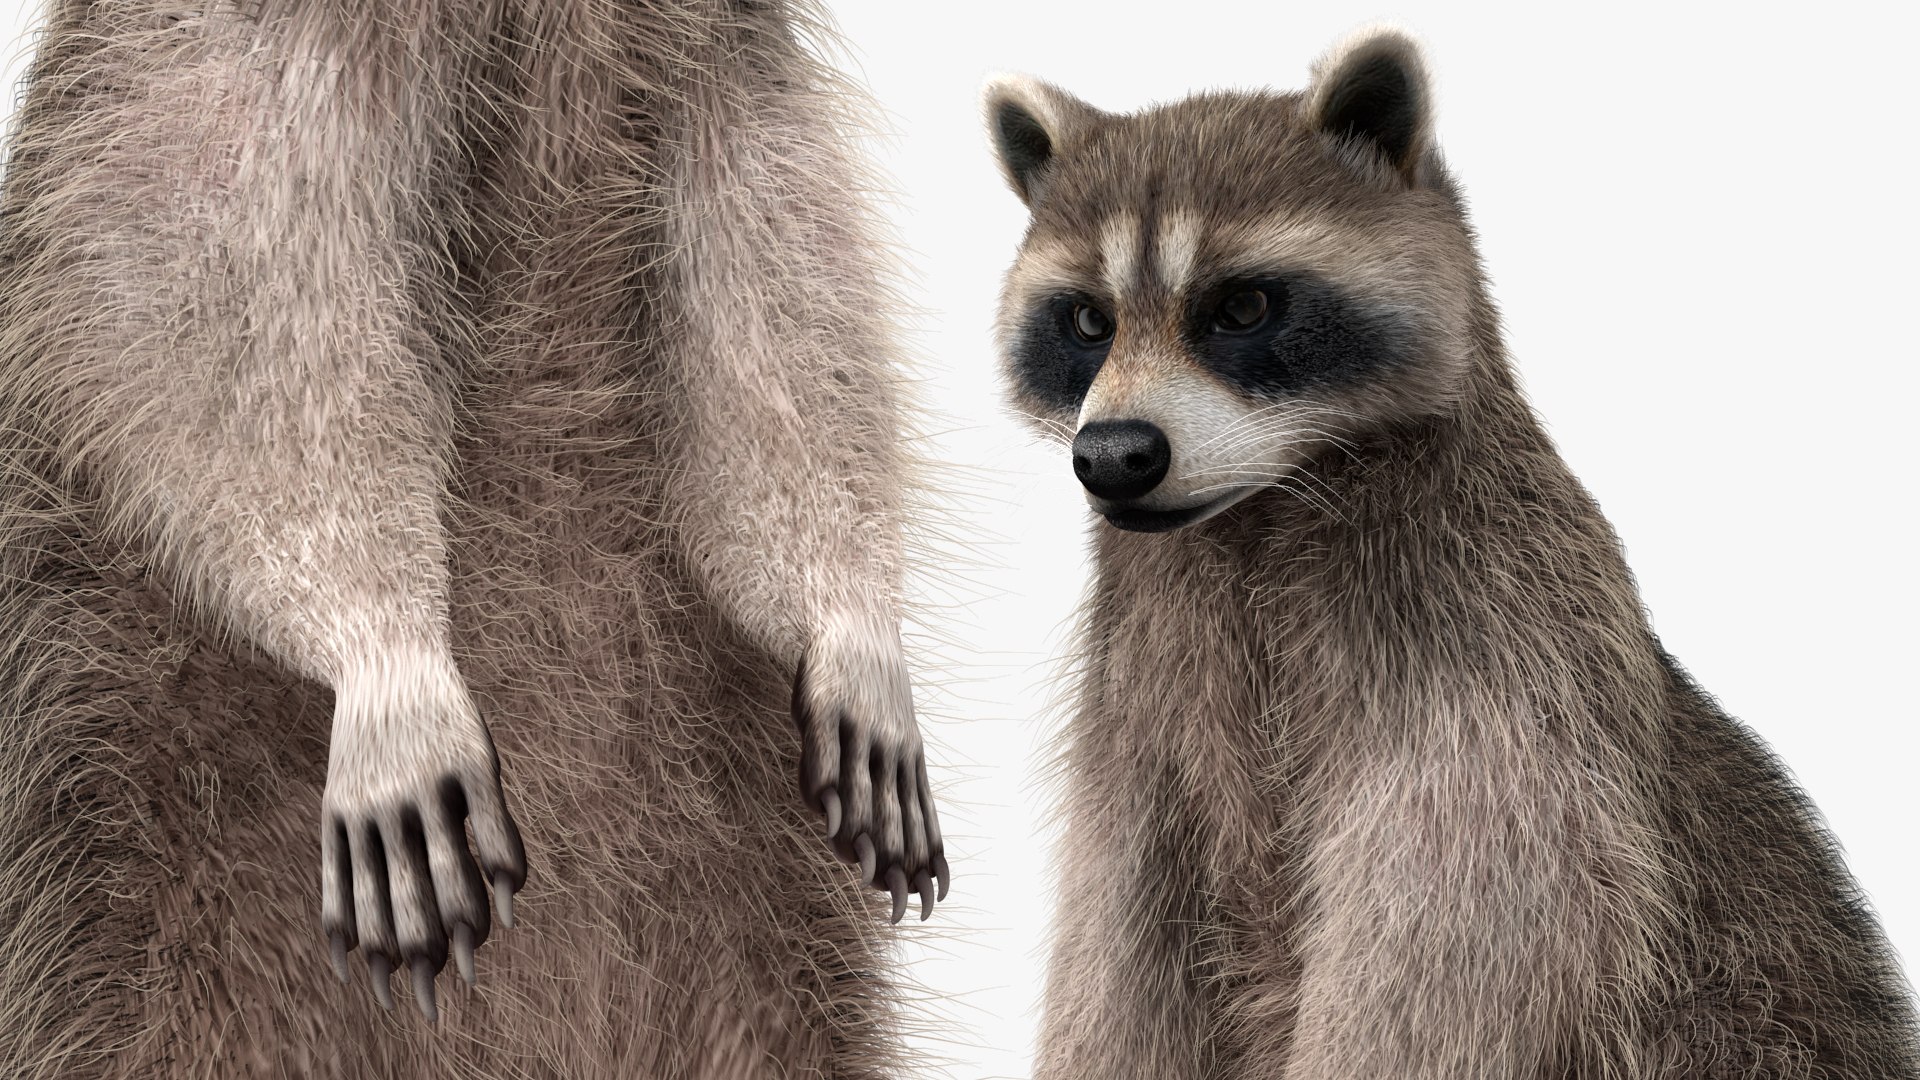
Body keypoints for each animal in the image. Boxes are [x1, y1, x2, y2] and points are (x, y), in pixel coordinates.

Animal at [0, 0, 946, 1076]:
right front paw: (387, 660)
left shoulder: (722, 64)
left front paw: (852, 622)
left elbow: (774, 266)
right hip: (129, 856)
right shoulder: (207, 52)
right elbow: (195, 248)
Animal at [987, 28, 1917, 1079]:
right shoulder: (1137, 709)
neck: (1254, 513)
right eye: (1087, 322)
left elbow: (1461, 945)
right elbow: (1121, 963)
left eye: (1244, 308)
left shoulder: (1496, 656)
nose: (1114, 456)